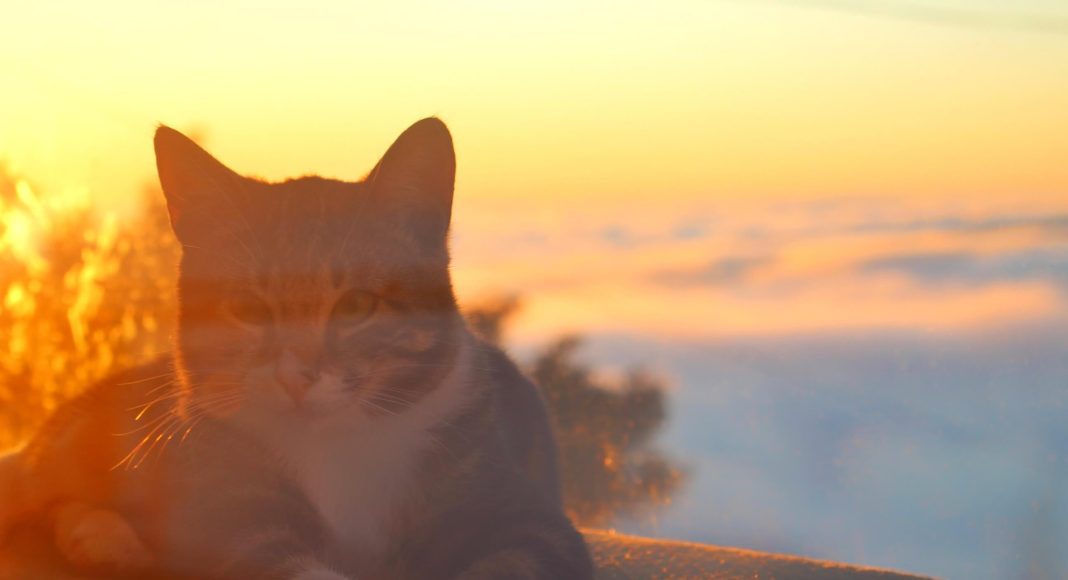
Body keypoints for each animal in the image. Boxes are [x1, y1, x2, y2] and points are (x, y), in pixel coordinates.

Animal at [0, 119, 593, 580]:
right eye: (248, 307)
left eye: (356, 305)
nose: (295, 375)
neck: (338, 452)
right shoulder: (232, 515)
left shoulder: (526, 514)